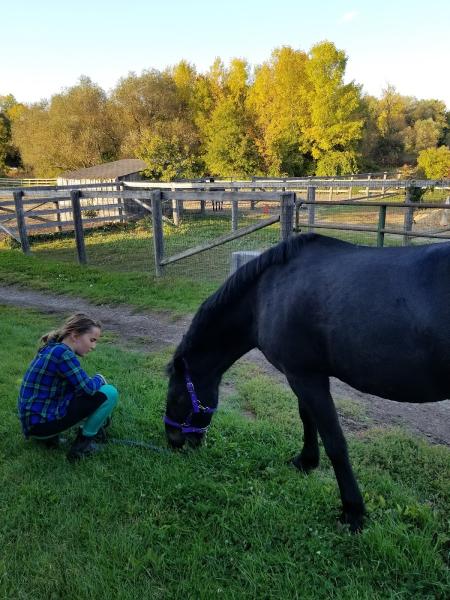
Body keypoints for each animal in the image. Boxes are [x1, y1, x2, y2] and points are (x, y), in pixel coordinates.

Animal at [165, 232, 450, 532]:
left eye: (177, 397)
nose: (172, 440)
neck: (264, 295)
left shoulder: (306, 377)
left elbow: (335, 442)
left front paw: (353, 512)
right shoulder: (302, 375)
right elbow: (307, 418)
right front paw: (307, 461)